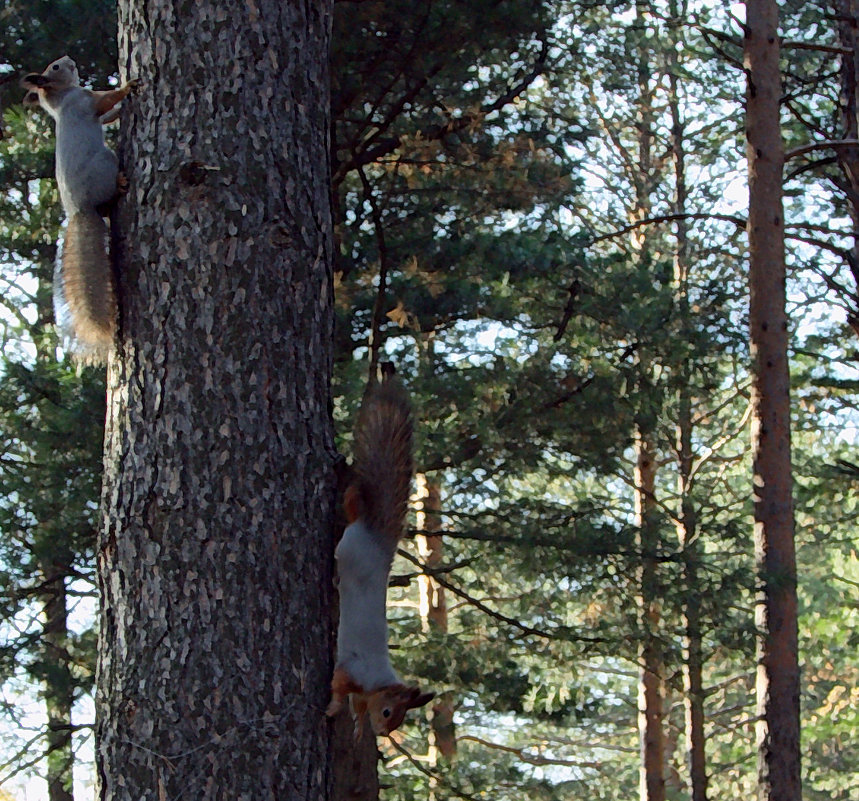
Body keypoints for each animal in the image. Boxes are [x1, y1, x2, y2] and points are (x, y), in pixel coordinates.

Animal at [21, 54, 138, 358]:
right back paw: (120, 182)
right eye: (56, 67)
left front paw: (120, 110)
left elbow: (106, 115)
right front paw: (128, 87)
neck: (60, 100)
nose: (68, 58)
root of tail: (80, 210)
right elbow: (104, 101)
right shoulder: (84, 100)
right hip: (106, 162)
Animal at [326, 376, 434, 736]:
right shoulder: (350, 671)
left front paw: (359, 726)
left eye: (400, 717)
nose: (385, 733)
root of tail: (379, 542)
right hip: (351, 537)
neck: (377, 682)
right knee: (354, 503)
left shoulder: (362, 694)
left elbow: (357, 707)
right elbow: (337, 689)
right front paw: (331, 711)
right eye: (389, 712)